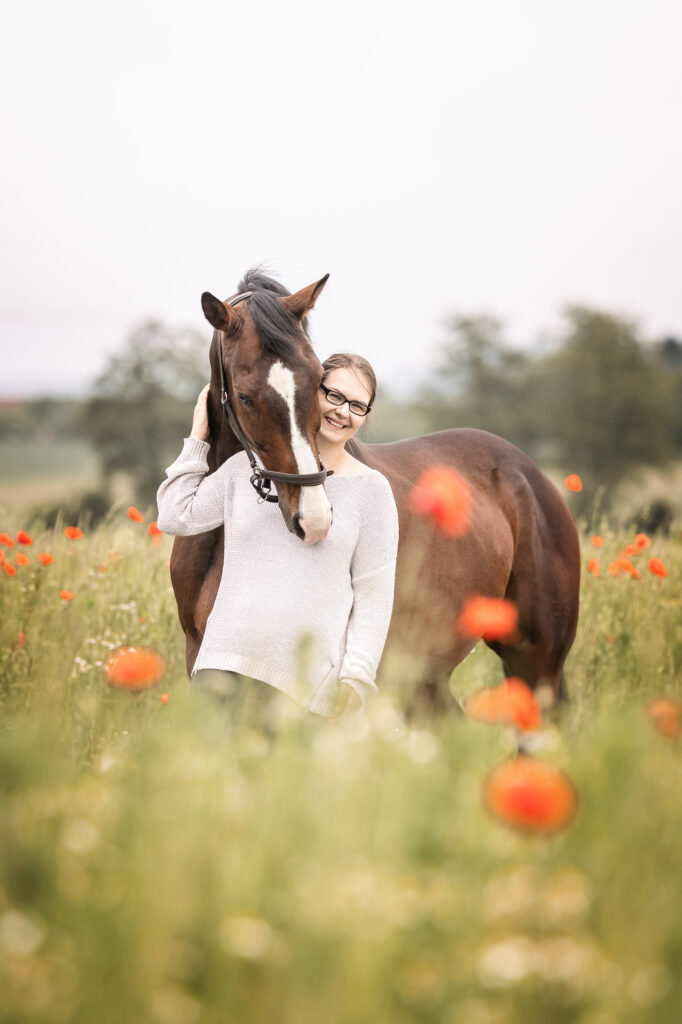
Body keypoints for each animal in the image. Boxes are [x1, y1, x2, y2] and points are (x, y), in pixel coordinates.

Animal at [168, 268, 577, 708]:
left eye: (318, 381)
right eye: (244, 396)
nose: (314, 518)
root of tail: (531, 475)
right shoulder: (206, 666)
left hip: (534, 662)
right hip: (425, 677)